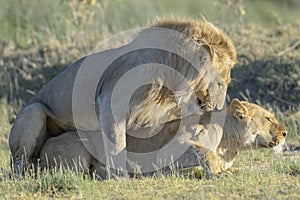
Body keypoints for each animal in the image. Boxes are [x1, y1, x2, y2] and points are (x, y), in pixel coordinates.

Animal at [8, 18, 237, 175]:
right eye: (220, 83)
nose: (218, 107)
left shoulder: (153, 118)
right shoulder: (110, 102)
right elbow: (117, 145)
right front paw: (120, 178)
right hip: (33, 111)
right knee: (18, 162)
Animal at [38, 98, 288, 178]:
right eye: (268, 118)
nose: (286, 133)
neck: (229, 145)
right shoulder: (169, 150)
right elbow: (204, 152)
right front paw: (218, 172)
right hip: (79, 154)